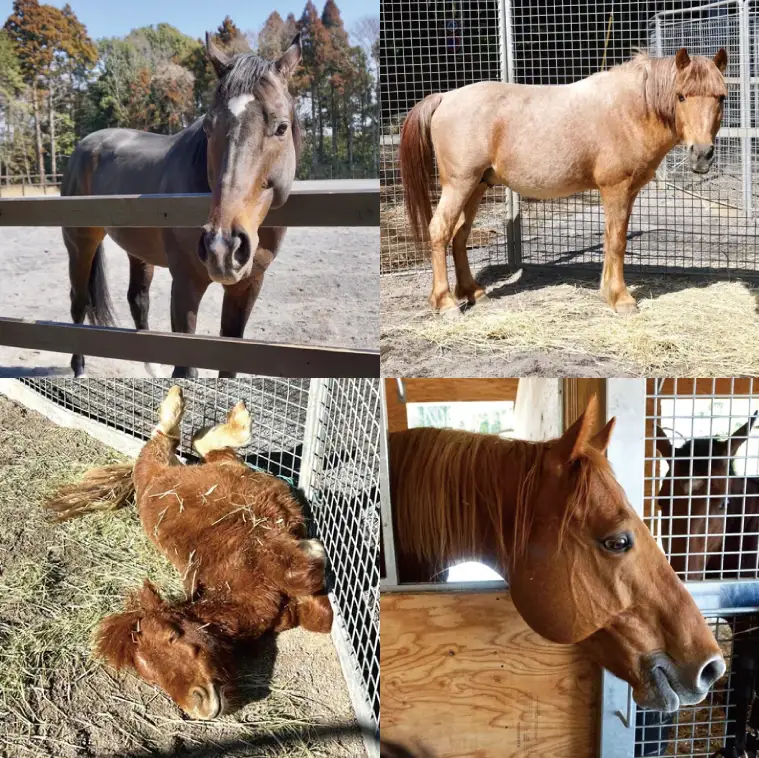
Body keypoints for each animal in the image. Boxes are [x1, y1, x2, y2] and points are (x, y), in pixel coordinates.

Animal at [45, 385, 332, 719]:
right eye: (151, 675)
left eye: (173, 636)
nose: (199, 706)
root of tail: (146, 476)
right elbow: (320, 613)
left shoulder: (261, 550)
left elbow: (302, 573)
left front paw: (312, 548)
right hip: (220, 467)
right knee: (204, 445)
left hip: (161, 457)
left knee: (167, 436)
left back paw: (179, 402)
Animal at [61, 34, 302, 378]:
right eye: (208, 127)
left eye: (281, 127)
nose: (223, 248)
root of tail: (83, 146)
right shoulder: (186, 283)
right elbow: (186, 369)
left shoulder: (248, 285)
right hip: (80, 243)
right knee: (79, 301)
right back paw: (79, 369)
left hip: (137, 251)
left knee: (138, 300)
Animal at [399, 48, 728, 318]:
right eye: (681, 96)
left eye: (721, 97)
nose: (701, 154)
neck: (632, 110)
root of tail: (446, 97)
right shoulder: (616, 188)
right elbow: (617, 241)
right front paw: (621, 299)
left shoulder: (628, 192)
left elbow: (612, 239)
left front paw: (608, 292)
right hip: (459, 185)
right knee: (440, 230)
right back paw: (446, 303)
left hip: (476, 187)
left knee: (460, 235)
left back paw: (474, 293)